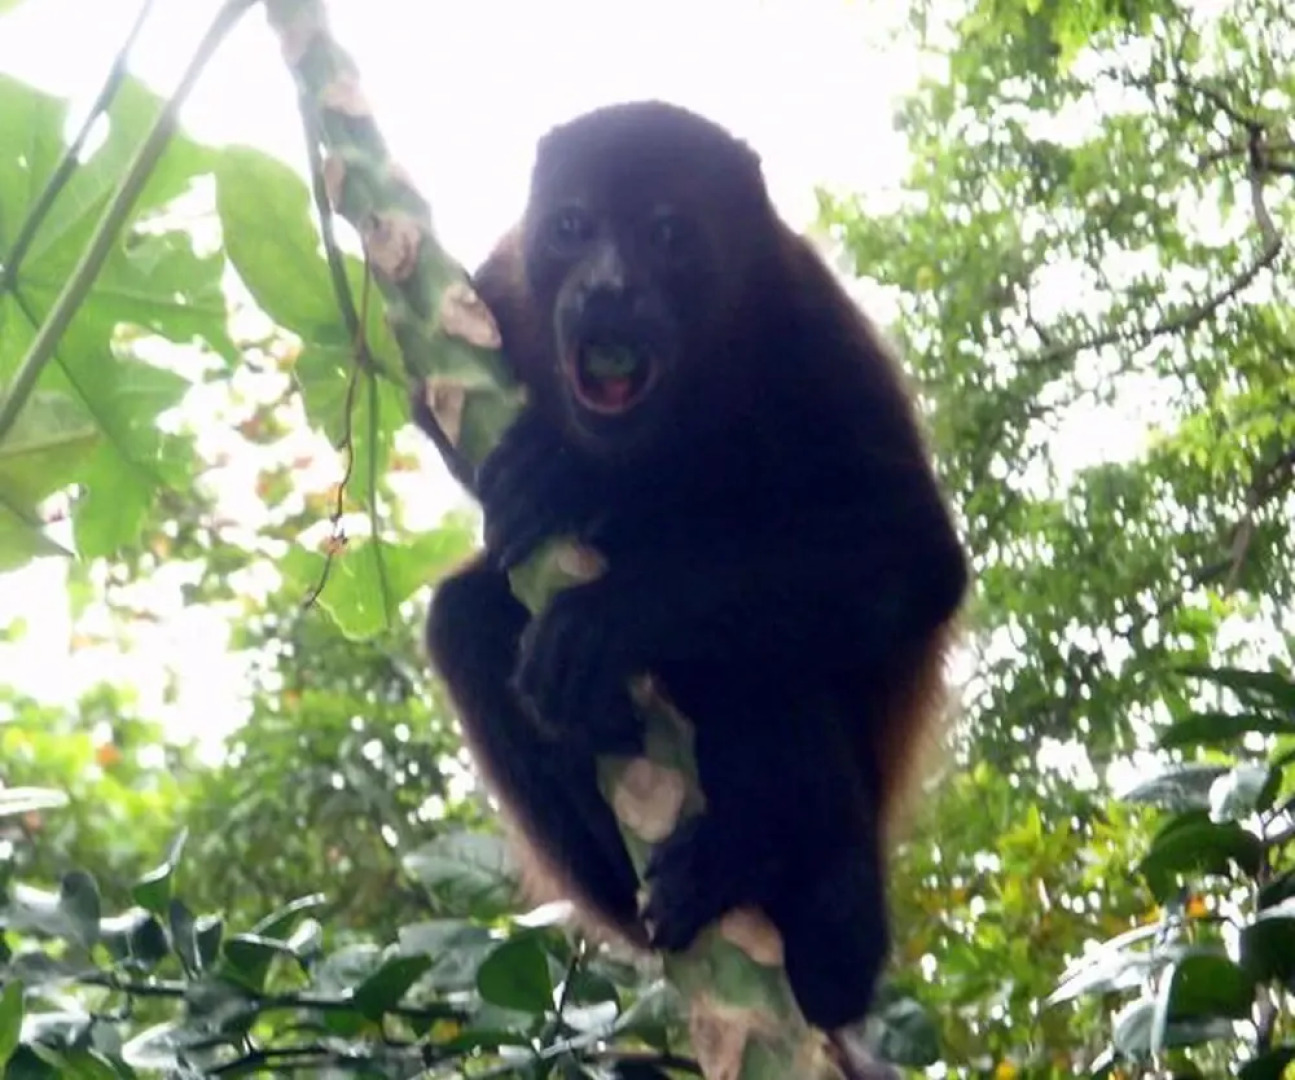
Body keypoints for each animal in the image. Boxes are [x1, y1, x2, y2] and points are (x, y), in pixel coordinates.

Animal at [415, 100, 969, 1033]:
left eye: (667, 233)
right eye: (571, 227)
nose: (606, 287)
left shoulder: (804, 320)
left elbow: (912, 556)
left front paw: (603, 588)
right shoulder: (500, 291)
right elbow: (437, 408)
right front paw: (559, 477)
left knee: (764, 662)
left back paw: (772, 873)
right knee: (465, 619)